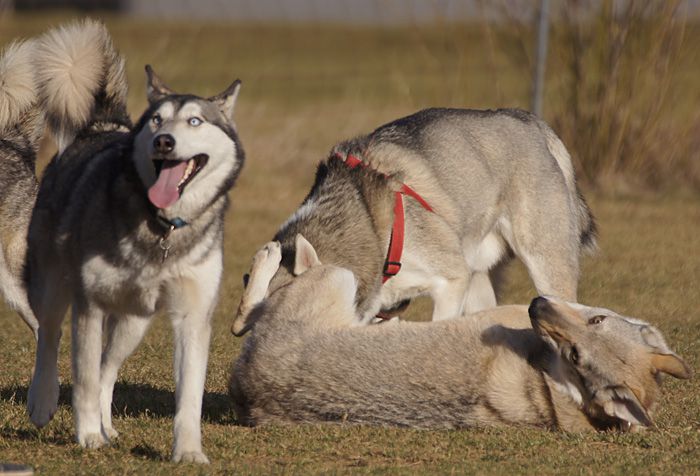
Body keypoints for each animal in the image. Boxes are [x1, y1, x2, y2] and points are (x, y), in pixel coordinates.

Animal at [230, 240, 688, 430]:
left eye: (576, 356)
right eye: (597, 322)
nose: (536, 305)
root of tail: (247, 385)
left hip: (336, 279)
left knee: (246, 315)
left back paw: (278, 255)